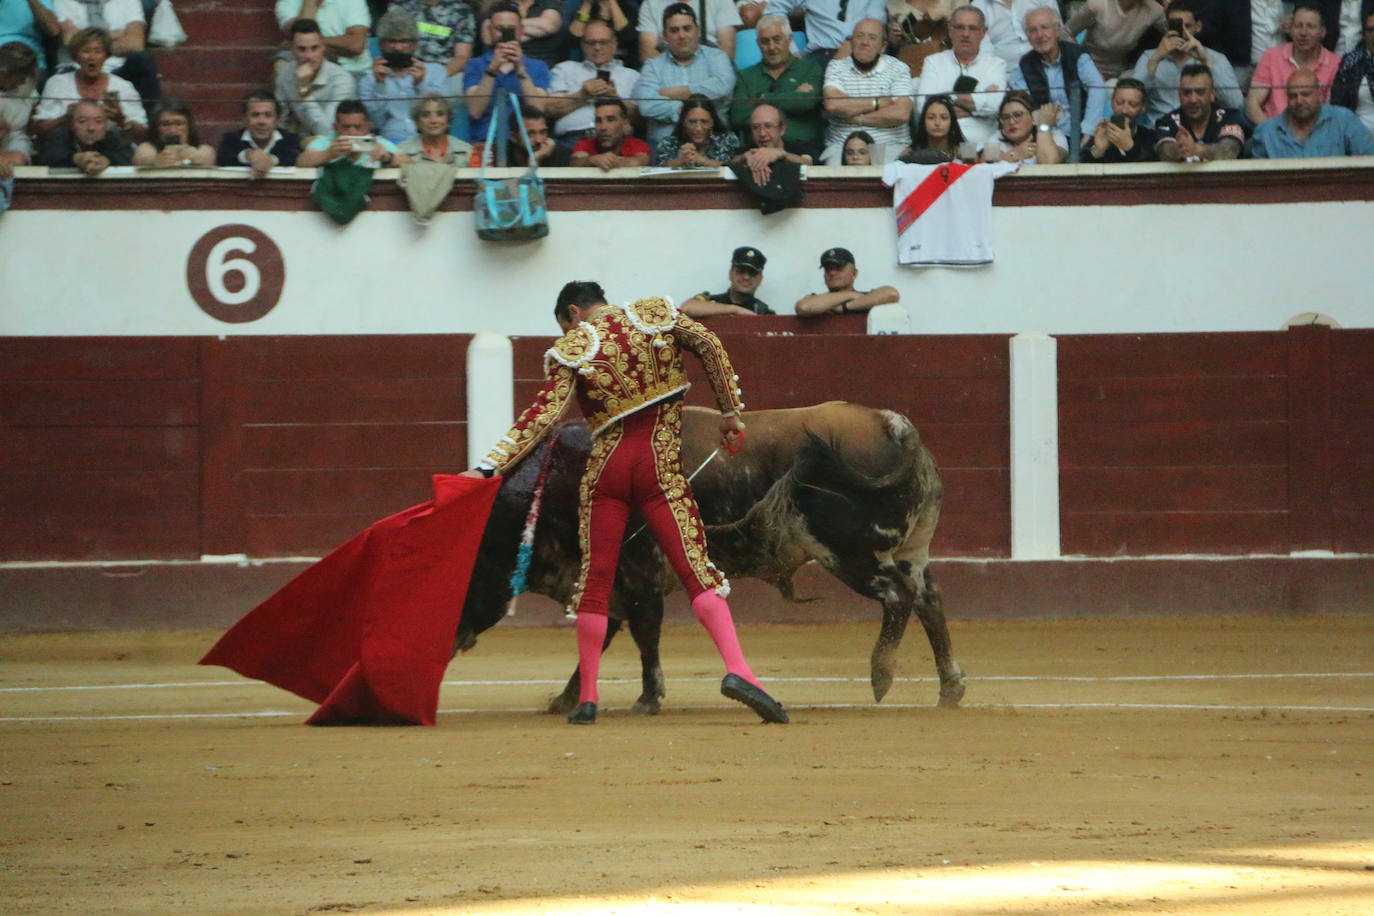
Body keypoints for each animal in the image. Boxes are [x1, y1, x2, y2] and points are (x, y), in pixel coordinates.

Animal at [453, 403, 967, 714]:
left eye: (468, 575)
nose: (453, 637)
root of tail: (892, 425)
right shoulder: (613, 582)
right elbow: (599, 636)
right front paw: (566, 699)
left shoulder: (638, 577)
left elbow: (644, 636)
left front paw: (647, 699)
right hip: (910, 550)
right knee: (930, 600)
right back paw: (950, 688)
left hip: (851, 553)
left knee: (899, 597)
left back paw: (882, 675)